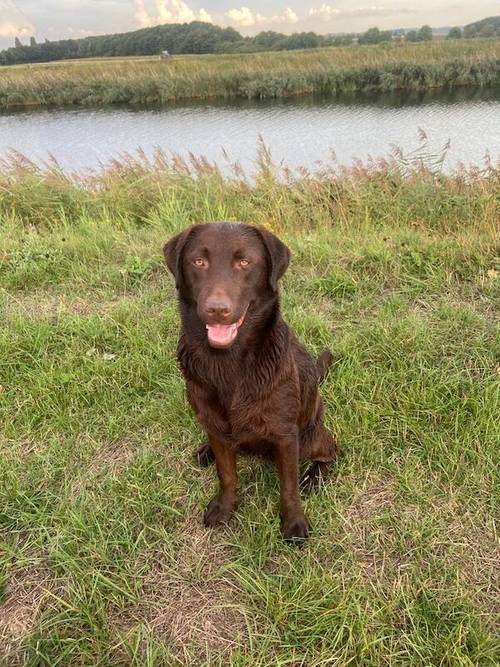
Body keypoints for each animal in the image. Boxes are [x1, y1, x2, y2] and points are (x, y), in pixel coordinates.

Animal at [164, 223, 336, 544]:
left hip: (311, 436)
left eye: (244, 262)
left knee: (330, 451)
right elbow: (227, 474)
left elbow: (288, 487)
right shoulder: (215, 424)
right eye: (198, 262)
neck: (227, 361)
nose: (217, 309)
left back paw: (313, 477)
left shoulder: (285, 435)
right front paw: (225, 508)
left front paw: (293, 522)